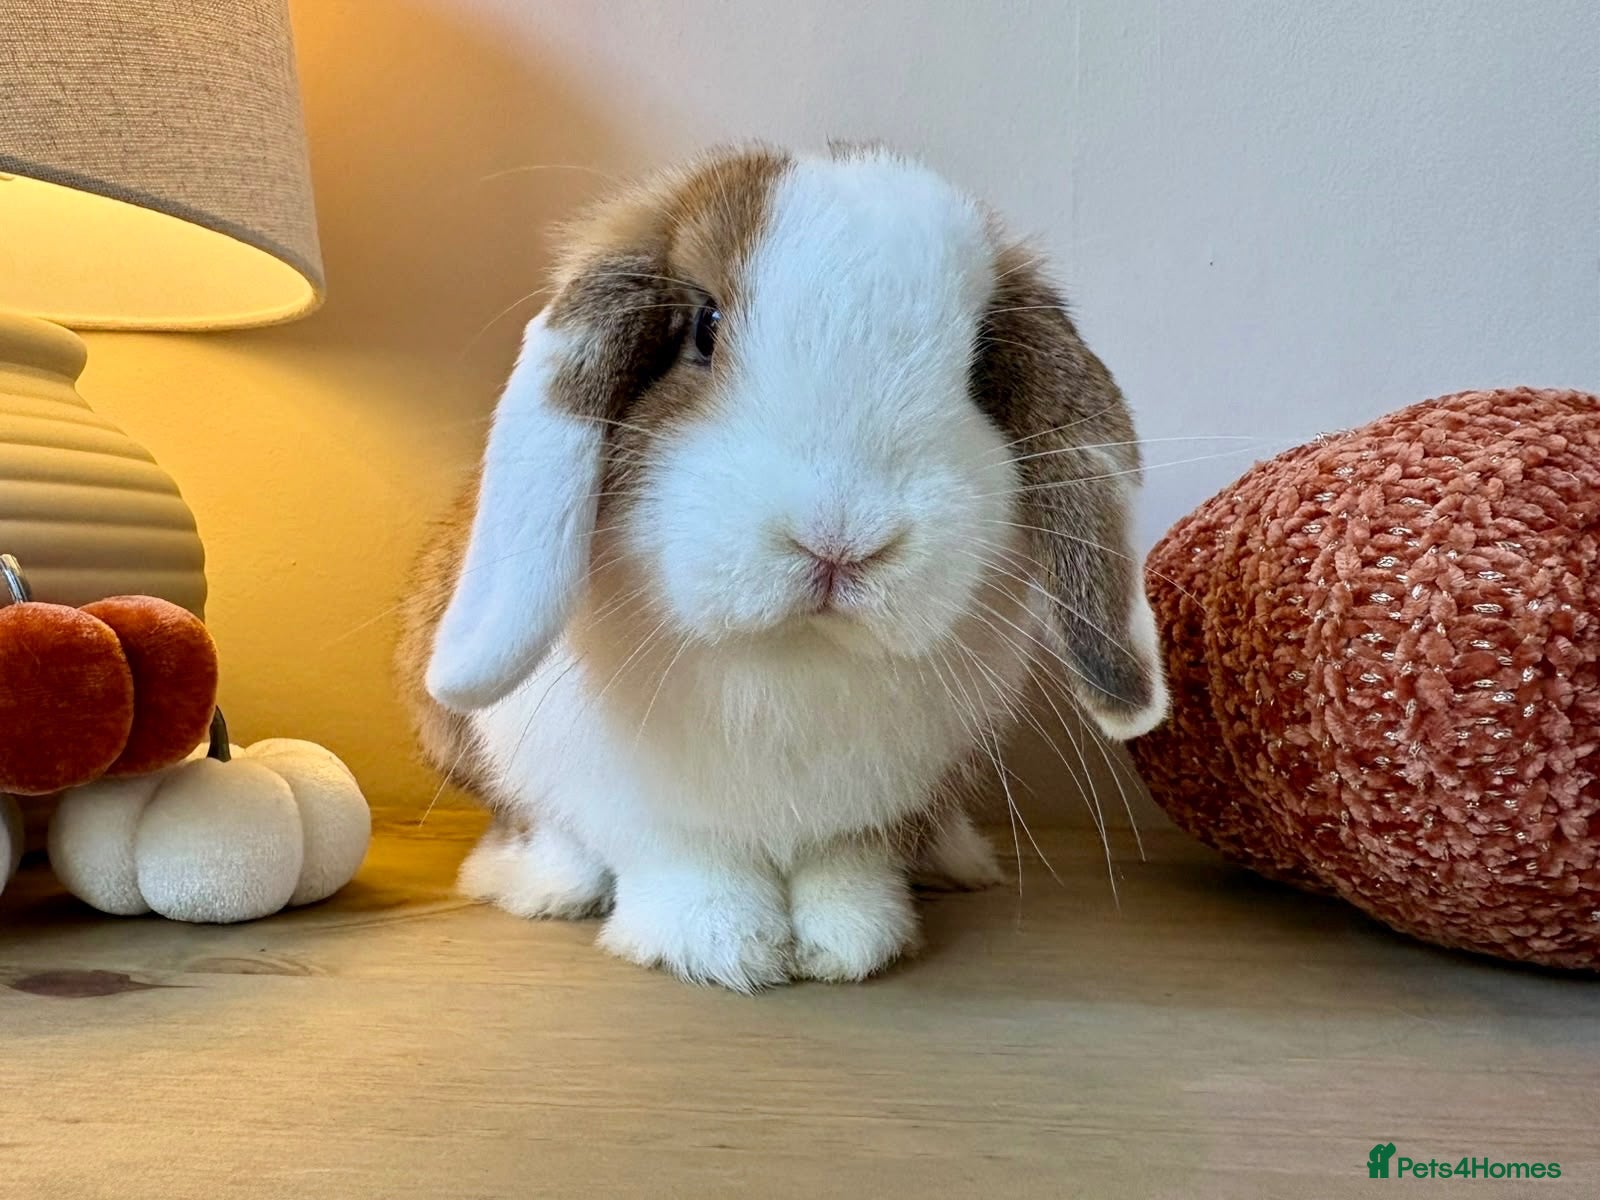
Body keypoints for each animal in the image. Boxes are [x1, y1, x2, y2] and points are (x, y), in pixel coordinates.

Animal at [396, 142, 1168, 991]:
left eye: (979, 365)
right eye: (704, 328)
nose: (840, 539)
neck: (792, 657)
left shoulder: (879, 807)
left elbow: (849, 864)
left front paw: (851, 942)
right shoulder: (636, 805)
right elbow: (683, 860)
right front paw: (717, 946)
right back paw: (542, 885)